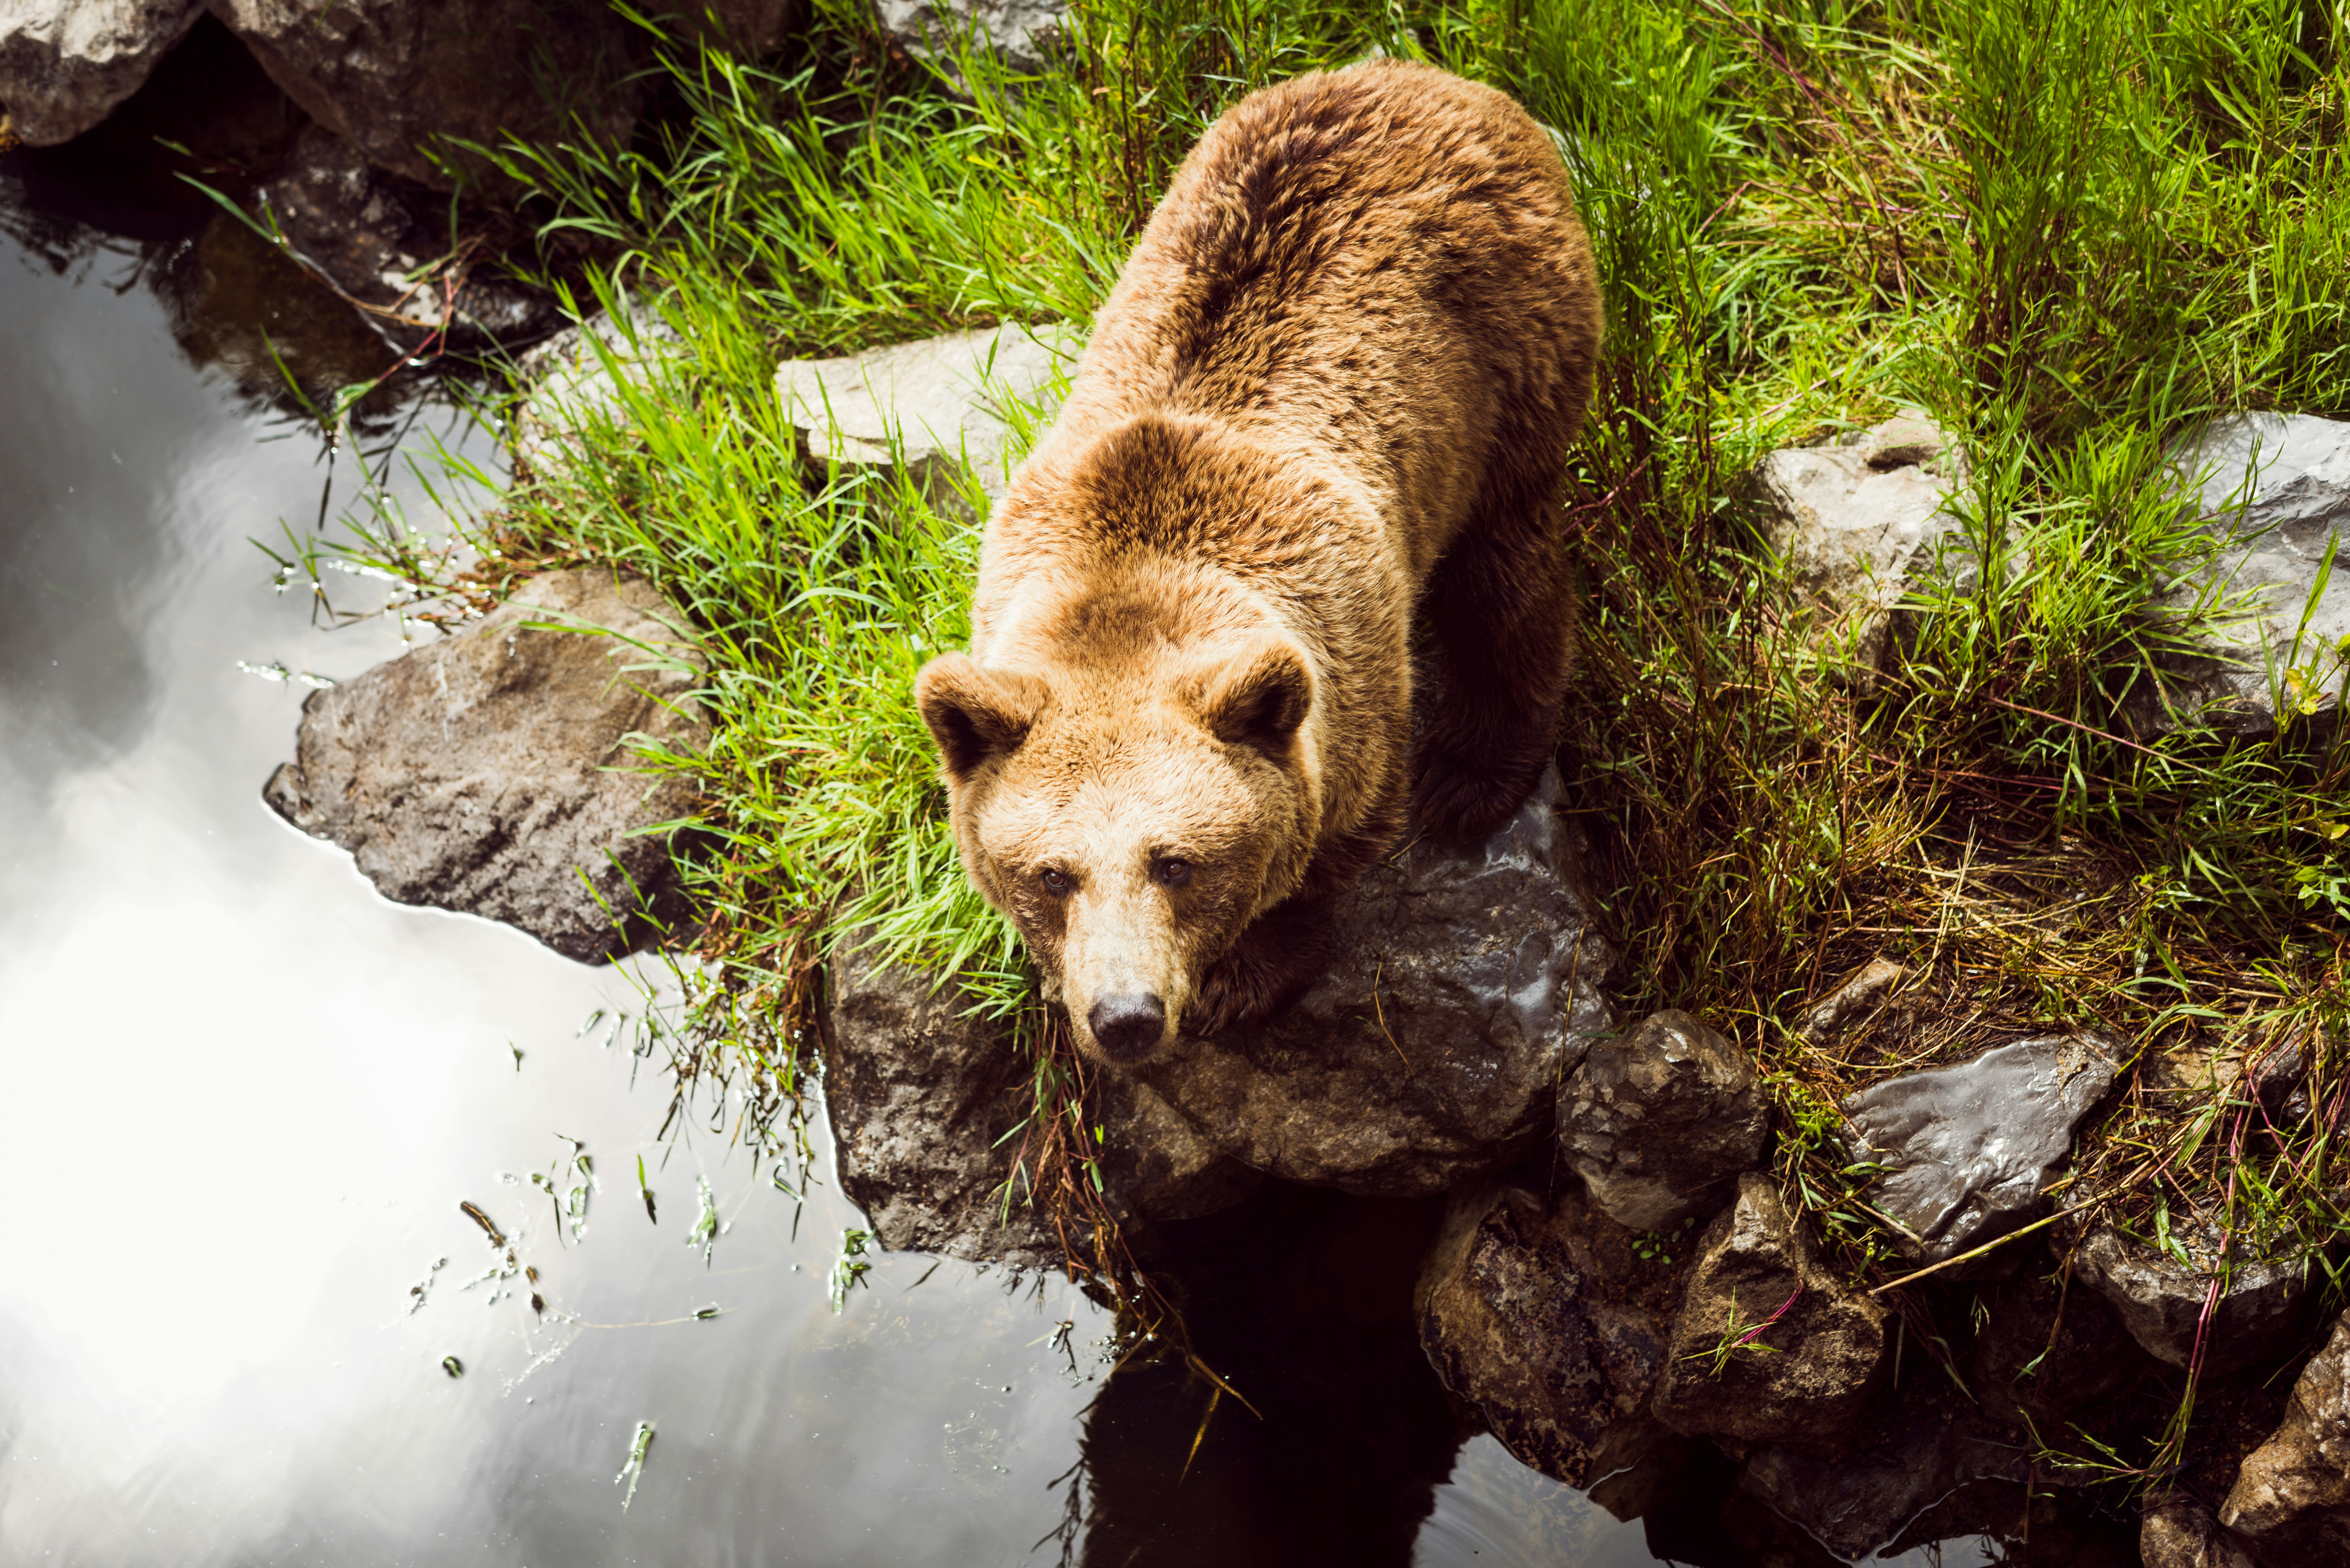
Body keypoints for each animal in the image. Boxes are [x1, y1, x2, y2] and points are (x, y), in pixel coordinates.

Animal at [915, 58, 1603, 1065]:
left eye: (1175, 861)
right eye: (1051, 874)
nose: (1125, 1017)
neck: (1132, 573)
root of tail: (1422, 74)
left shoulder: (1348, 665)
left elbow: (1334, 838)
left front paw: (1243, 976)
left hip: (1508, 361)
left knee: (1502, 573)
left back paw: (1471, 774)